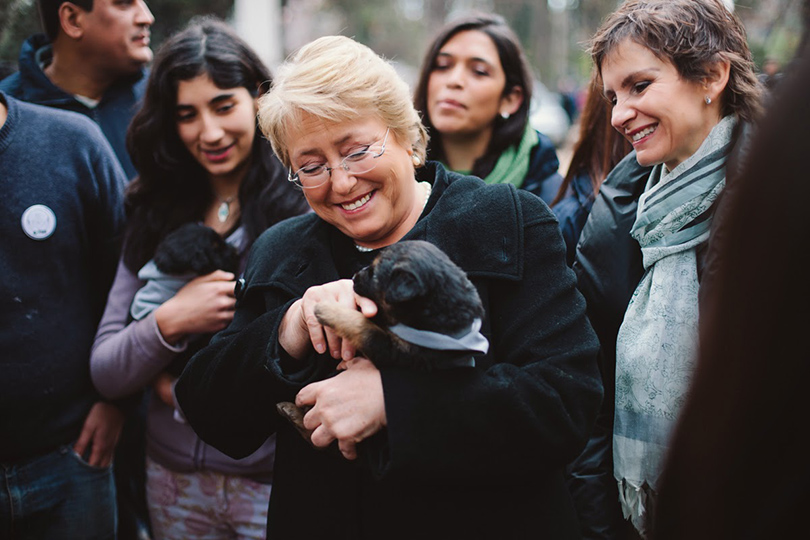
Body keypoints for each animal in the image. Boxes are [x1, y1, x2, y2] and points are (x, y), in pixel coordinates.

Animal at [276, 240, 486, 442]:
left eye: (374, 274)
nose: (354, 276)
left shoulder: (395, 352)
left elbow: (363, 326)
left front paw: (328, 310)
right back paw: (290, 412)